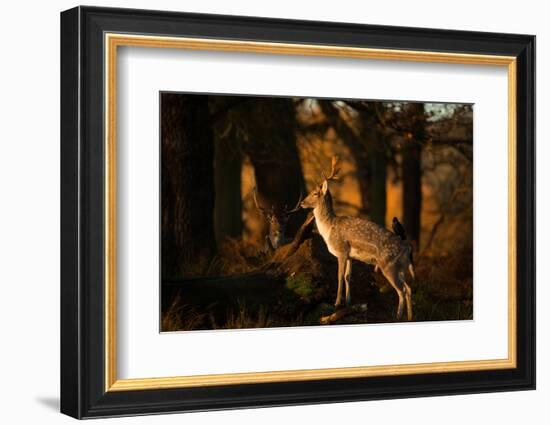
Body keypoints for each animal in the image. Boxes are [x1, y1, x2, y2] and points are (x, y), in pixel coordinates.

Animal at [302, 157, 418, 320]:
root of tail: (408, 248)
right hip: (401, 267)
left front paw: (337, 303)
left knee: (401, 290)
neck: (329, 228)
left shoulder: (341, 250)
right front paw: (348, 302)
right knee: (408, 288)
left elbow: (339, 276)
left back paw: (398, 316)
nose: (302, 203)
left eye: (314, 193)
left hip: (388, 265)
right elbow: (347, 276)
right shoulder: (350, 255)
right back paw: (409, 317)